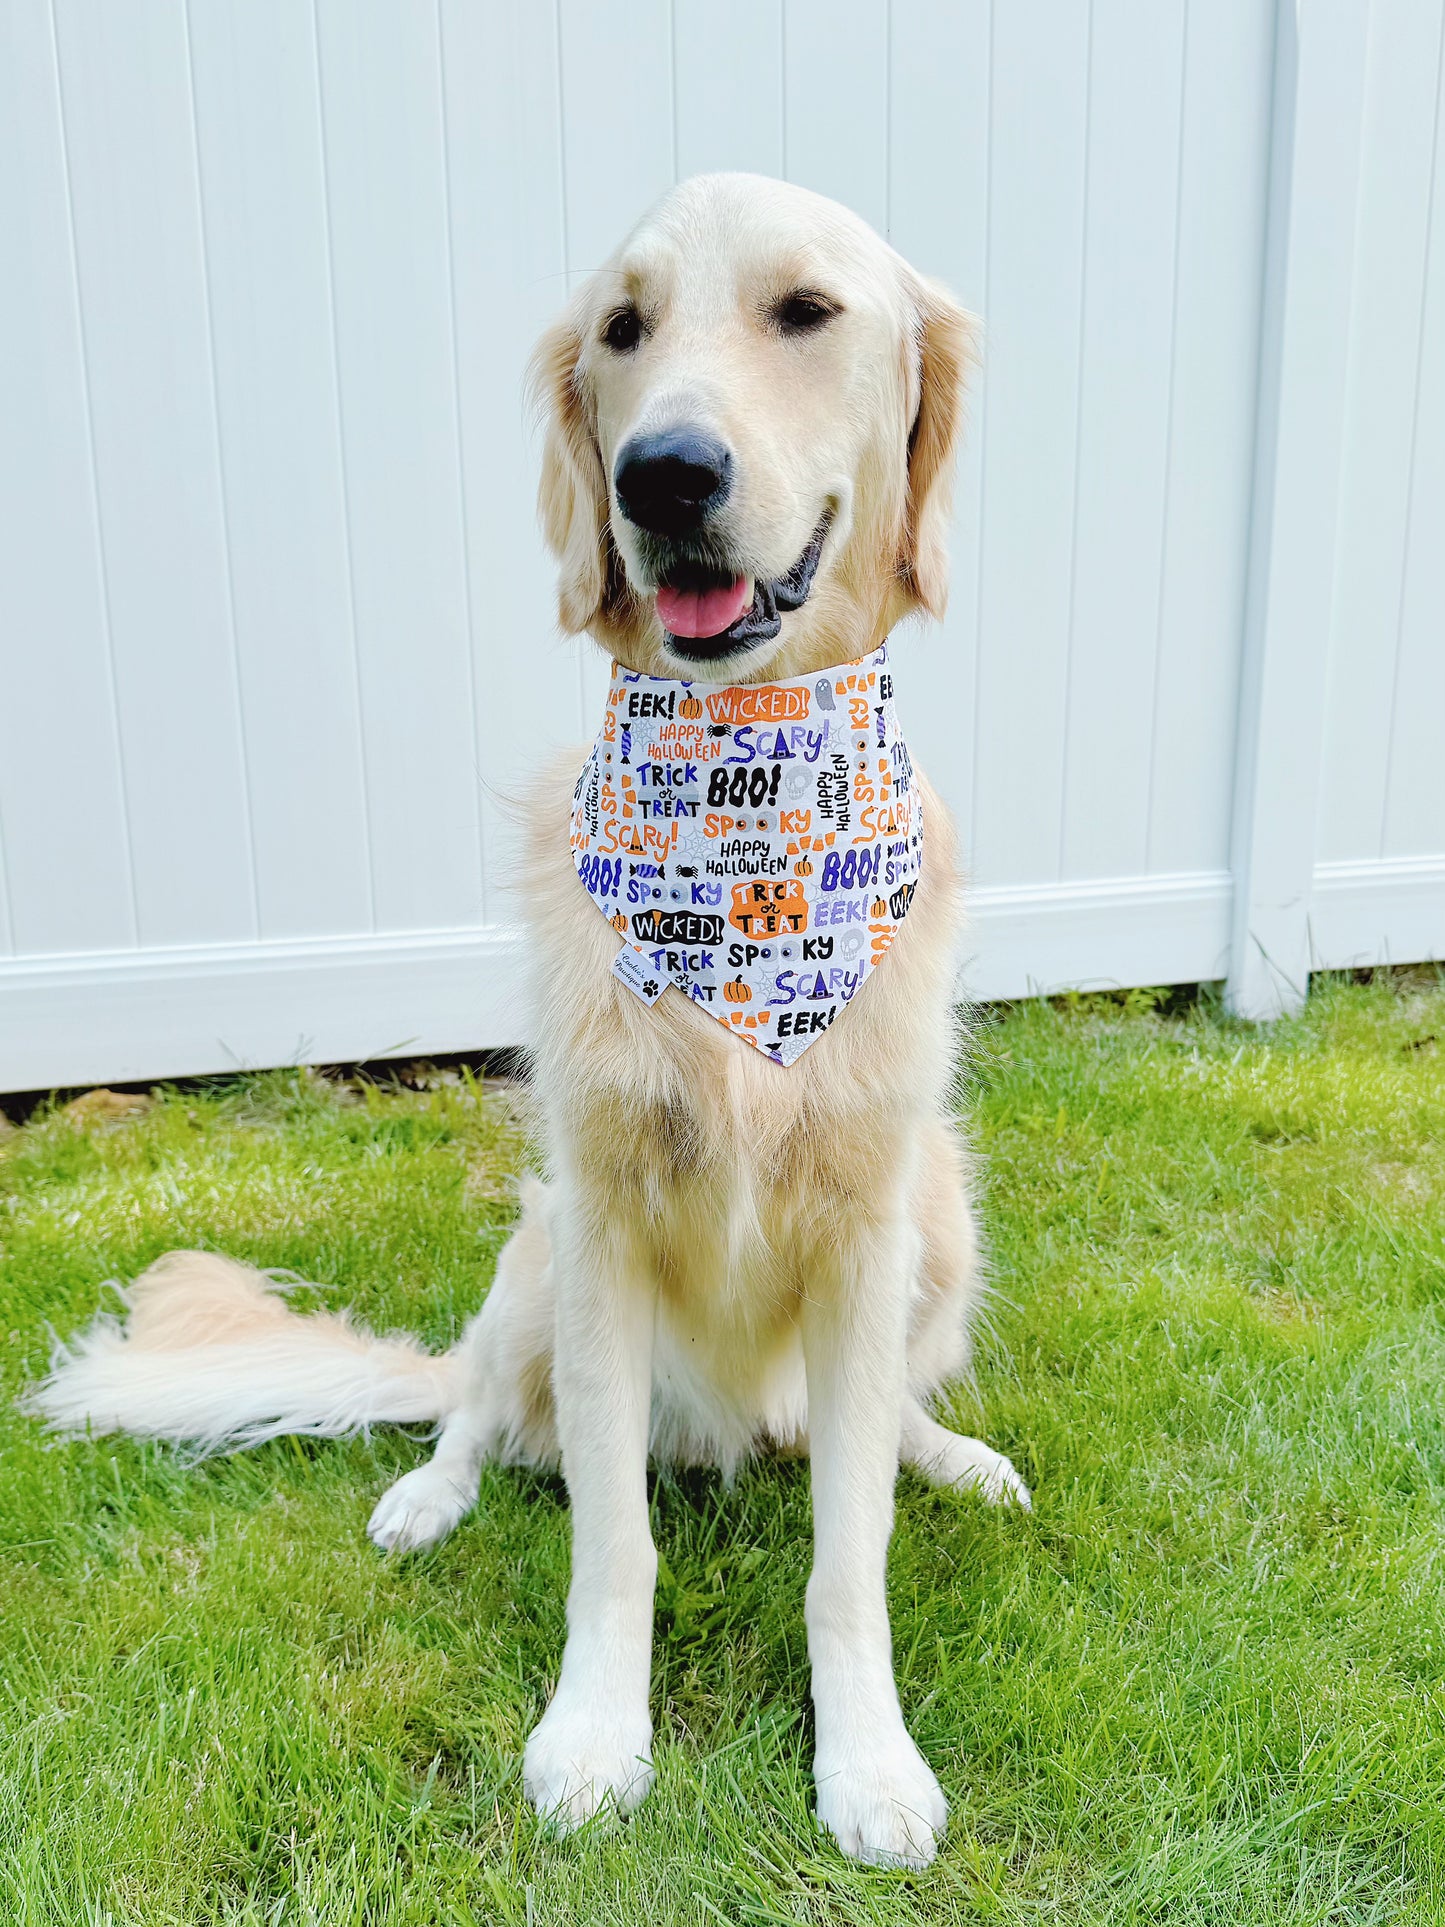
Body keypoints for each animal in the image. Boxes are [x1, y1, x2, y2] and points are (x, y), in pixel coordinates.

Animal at [33, 177, 1032, 1865]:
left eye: (807, 312)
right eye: (623, 330)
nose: (665, 472)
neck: (744, 814)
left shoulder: (866, 1225)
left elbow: (849, 1553)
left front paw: (870, 1761)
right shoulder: (608, 1222)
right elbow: (613, 1542)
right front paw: (593, 1734)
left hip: (938, 1223)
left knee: (875, 1420)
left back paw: (948, 1450)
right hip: (537, 1247)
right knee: (474, 1410)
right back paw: (425, 1495)